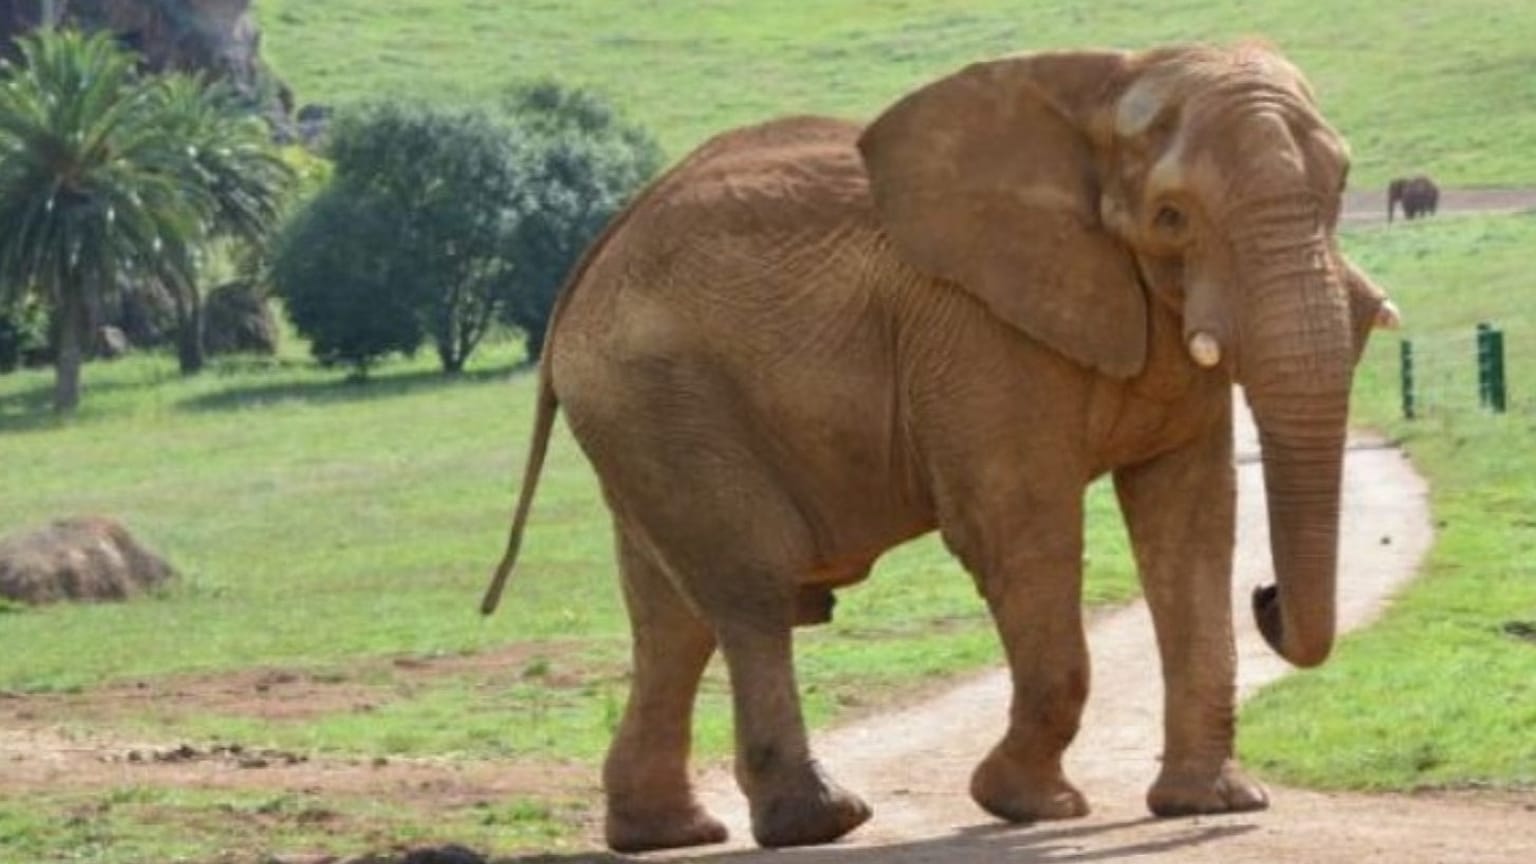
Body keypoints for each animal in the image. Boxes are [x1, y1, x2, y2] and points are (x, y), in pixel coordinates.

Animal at [481, 42, 1401, 852]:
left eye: (1339, 190)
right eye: (1170, 217)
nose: (1269, 598)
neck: (1104, 90)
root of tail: (587, 265)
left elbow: (1190, 524)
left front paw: (1209, 804)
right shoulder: (980, 333)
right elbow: (1019, 530)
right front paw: (1029, 808)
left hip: (643, 412)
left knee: (670, 617)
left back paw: (668, 835)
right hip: (664, 395)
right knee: (749, 591)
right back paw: (822, 822)